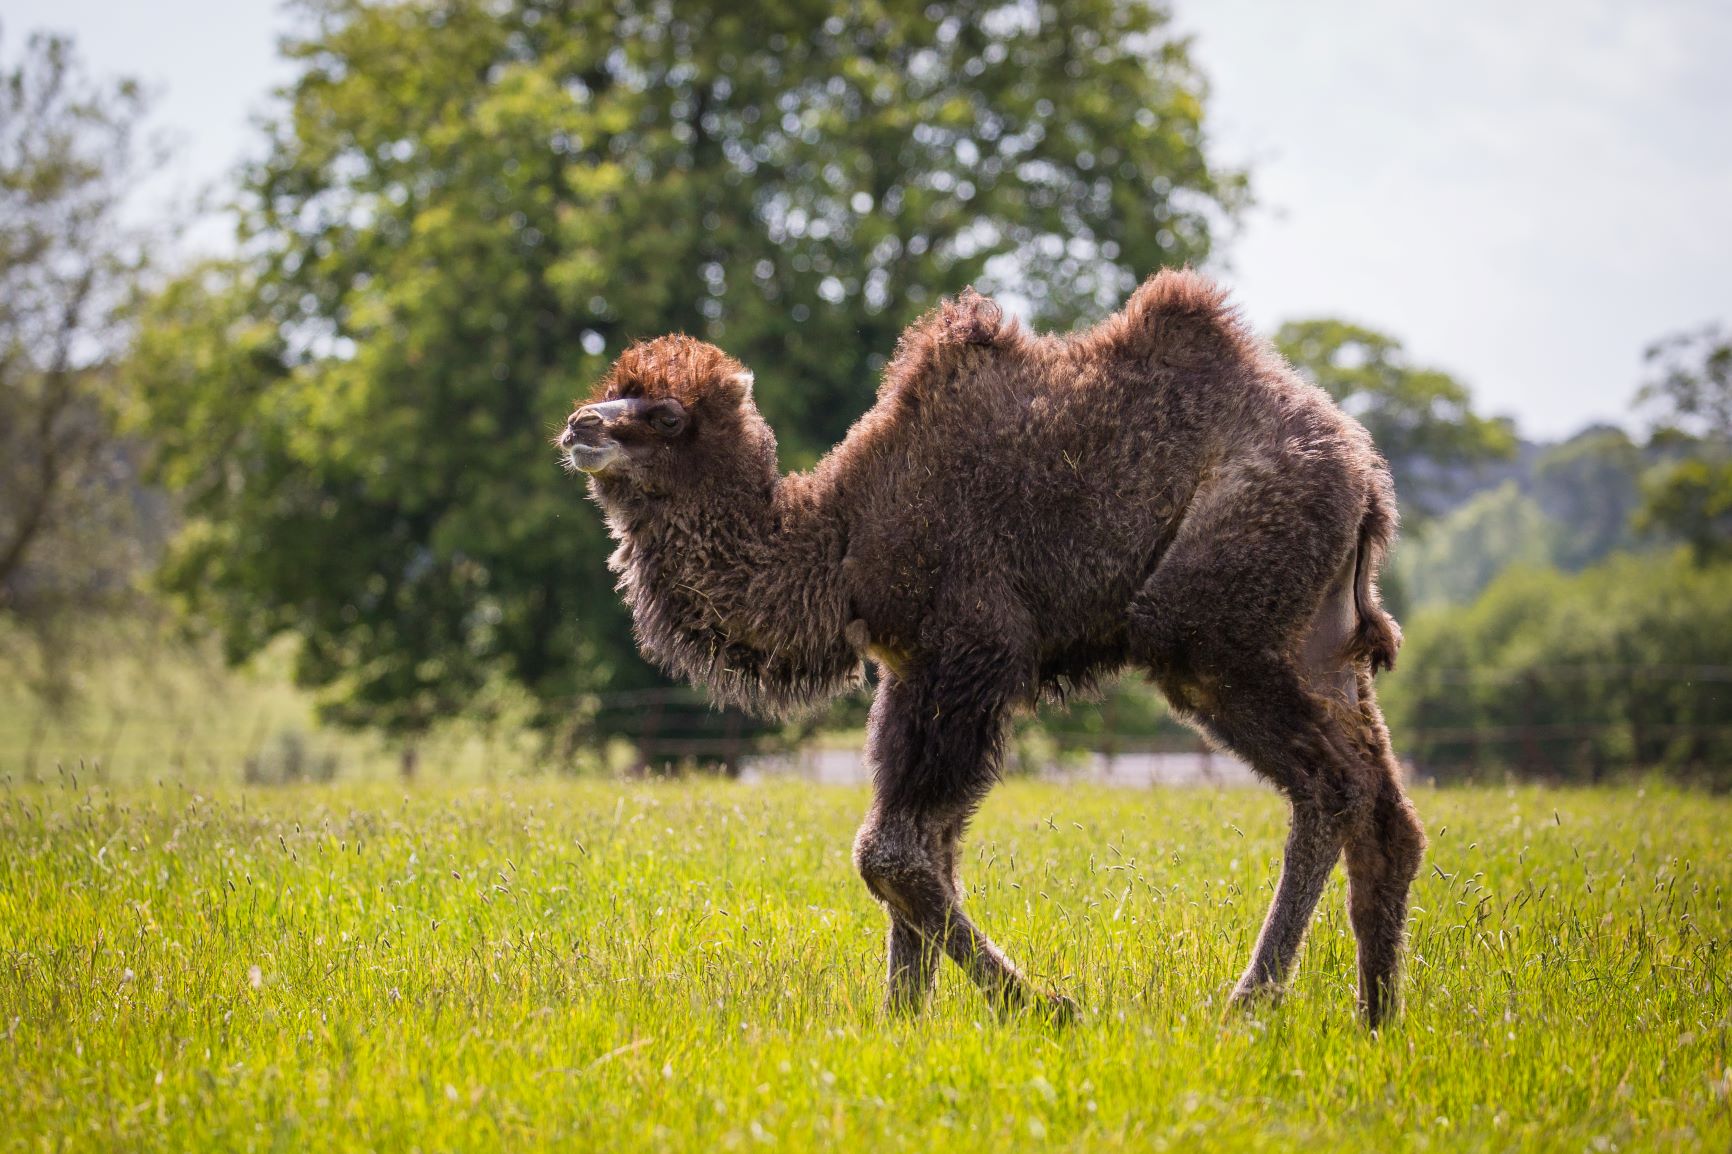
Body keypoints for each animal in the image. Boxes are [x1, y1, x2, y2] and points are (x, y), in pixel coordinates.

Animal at [561, 270, 1427, 1025]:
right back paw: (1375, 1019)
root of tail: (1364, 475)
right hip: (1317, 640)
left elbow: (892, 854)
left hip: (1212, 623)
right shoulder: (908, 669)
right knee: (1385, 810)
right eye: (616, 386)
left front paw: (1046, 1007)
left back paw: (1248, 1006)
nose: (580, 425)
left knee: (1331, 784)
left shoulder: (971, 650)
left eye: (667, 414)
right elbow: (922, 851)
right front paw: (903, 1023)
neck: (840, 537)